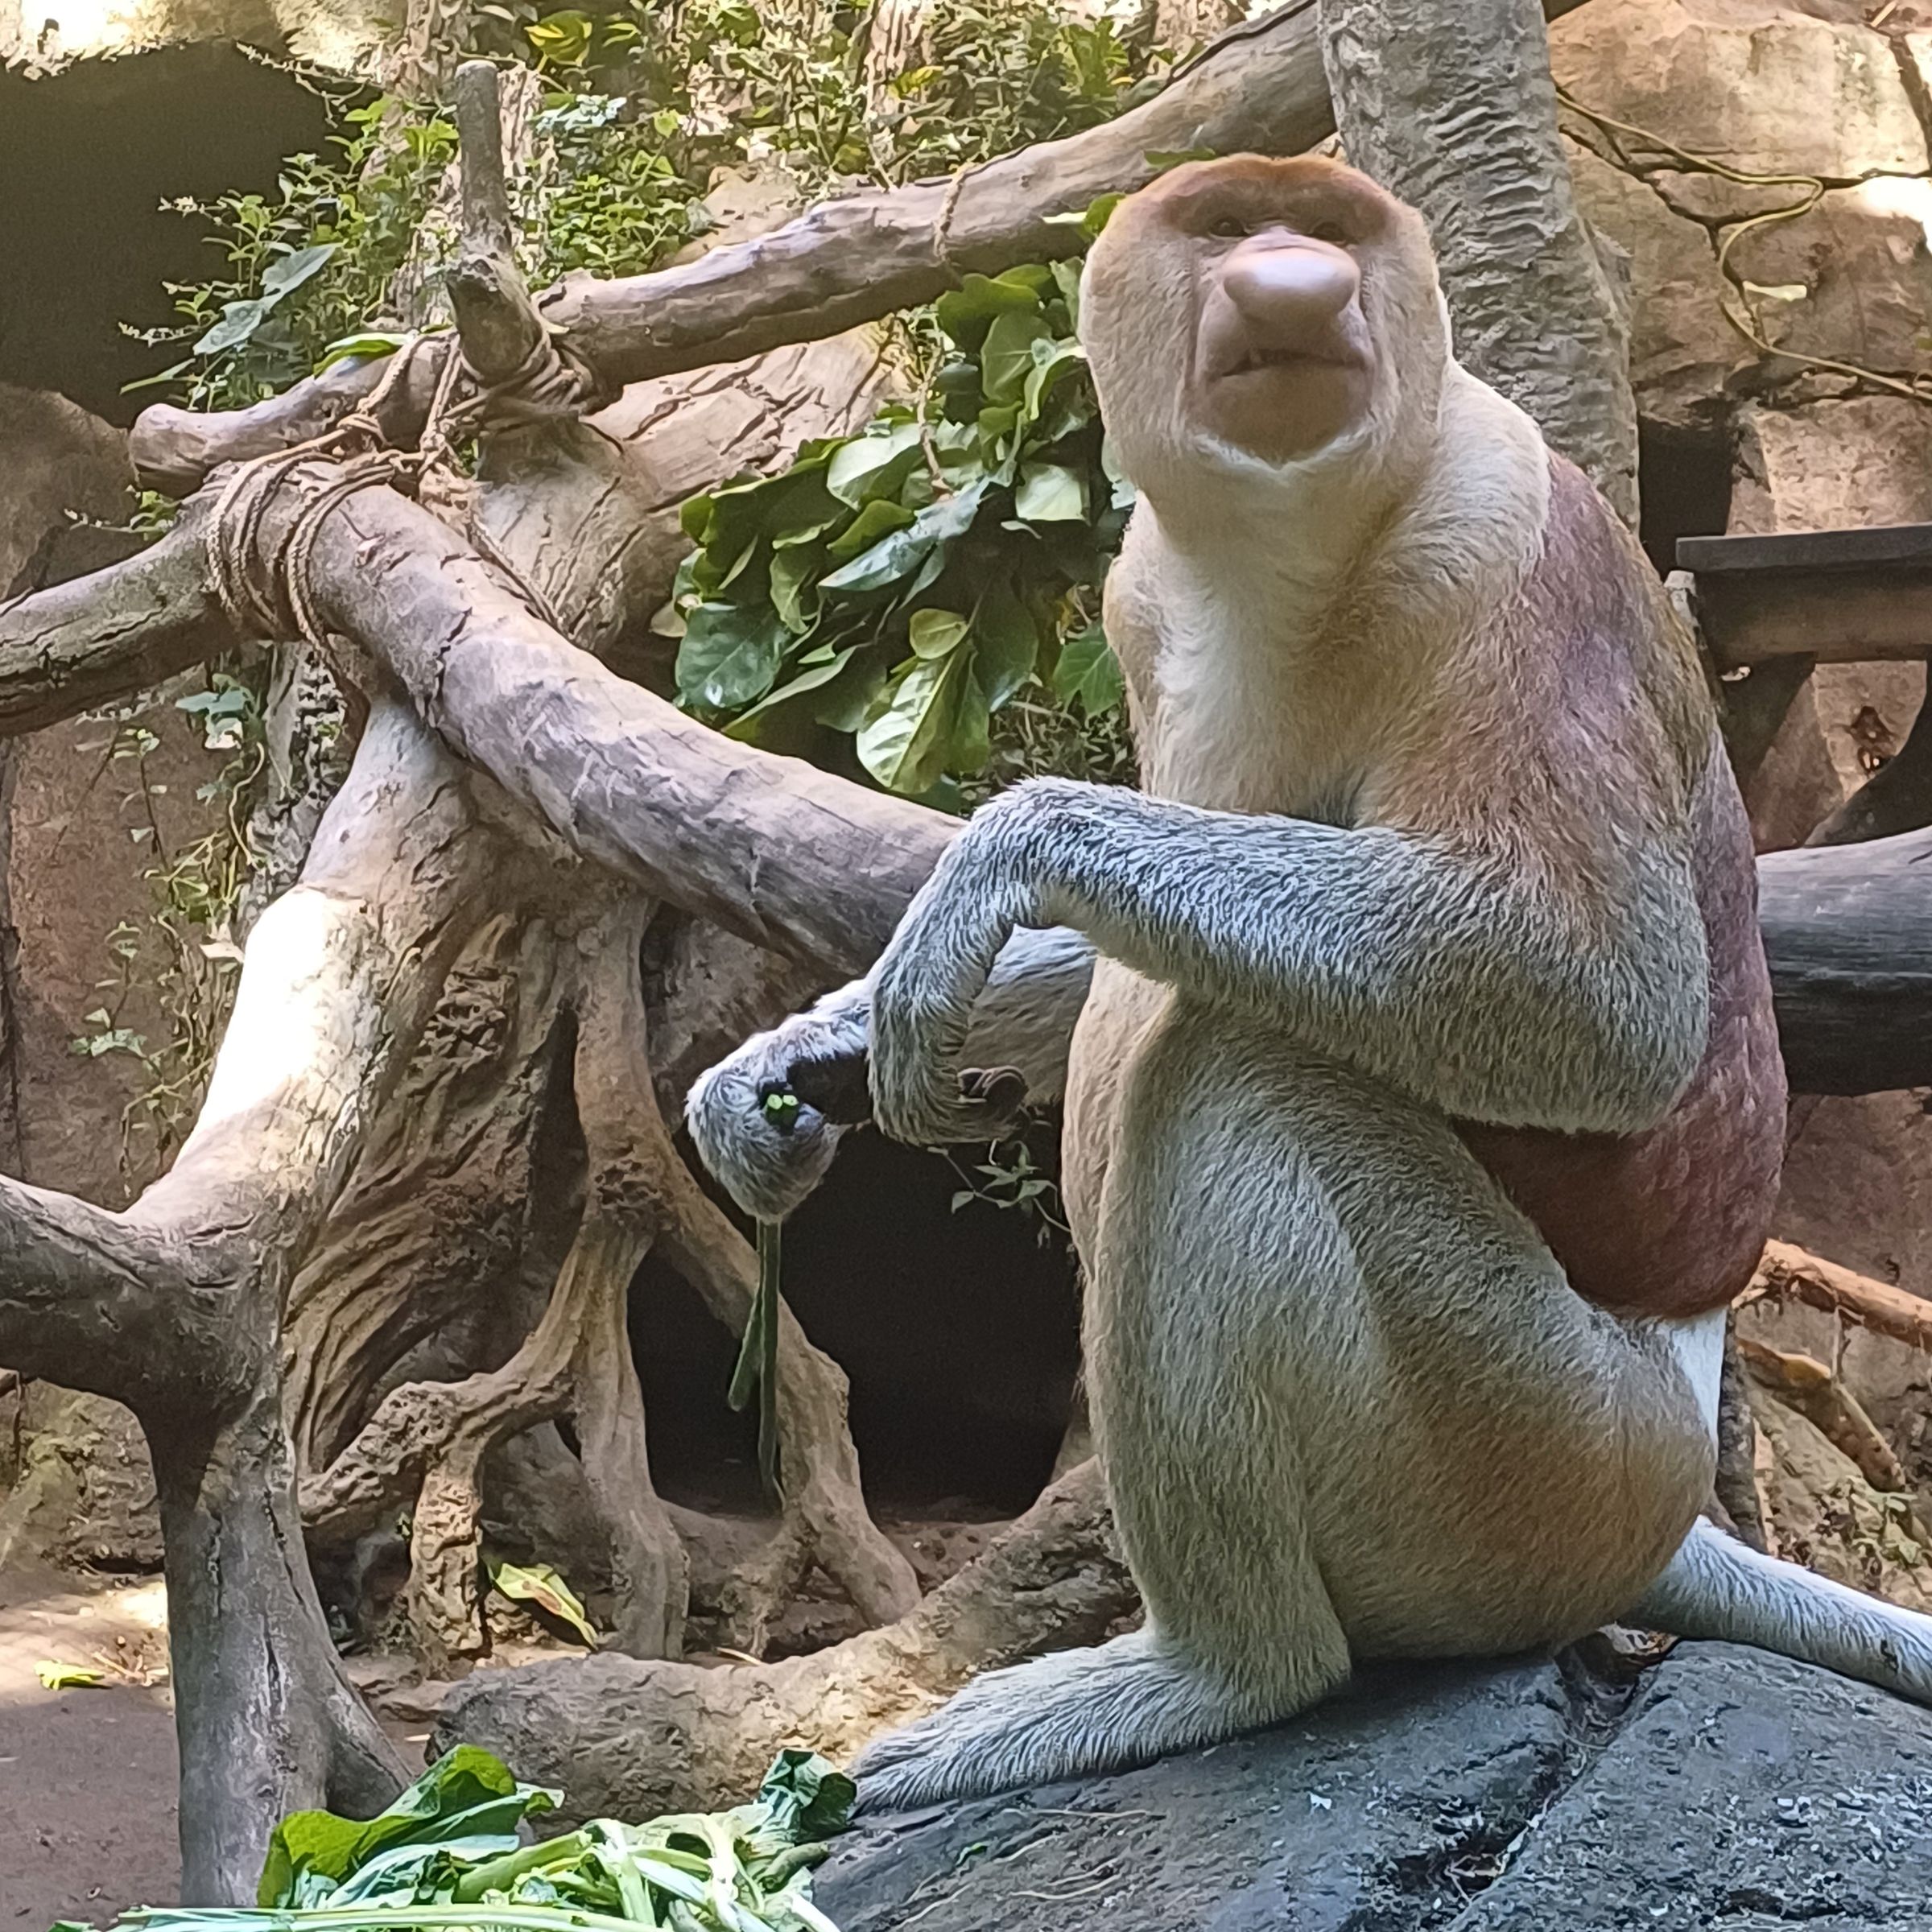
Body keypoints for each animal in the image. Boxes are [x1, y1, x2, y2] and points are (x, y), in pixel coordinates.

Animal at [685, 155, 1932, 1811]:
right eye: (1225, 228)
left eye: (1331, 231)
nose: (1296, 288)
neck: (1290, 557)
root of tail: (1669, 1508)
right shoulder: (1141, 601)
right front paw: (785, 1077)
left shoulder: (1504, 546)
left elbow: (1599, 1001)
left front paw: (996, 861)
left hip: (1539, 1450)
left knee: (1237, 1072)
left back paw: (1213, 1672)